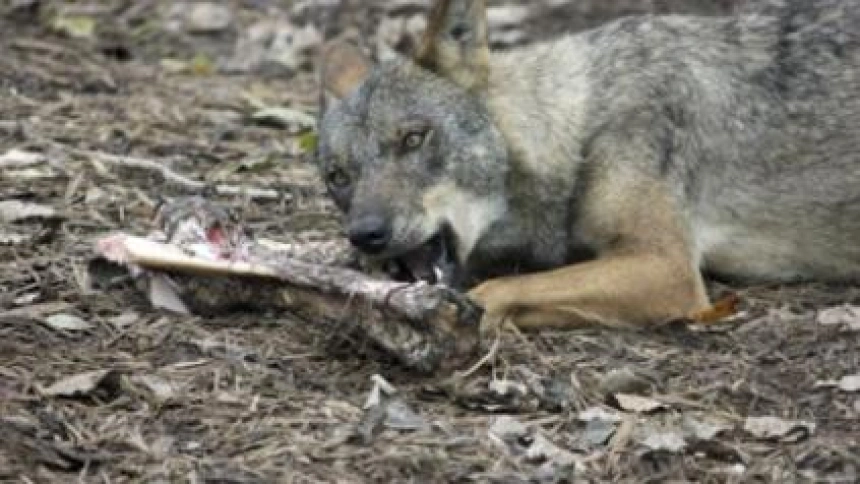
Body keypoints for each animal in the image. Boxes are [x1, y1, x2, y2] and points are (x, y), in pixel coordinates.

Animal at [315, 0, 860, 330]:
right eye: (338, 177)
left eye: (413, 138)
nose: (366, 234)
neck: (581, 125)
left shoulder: (666, 267)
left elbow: (502, 289)